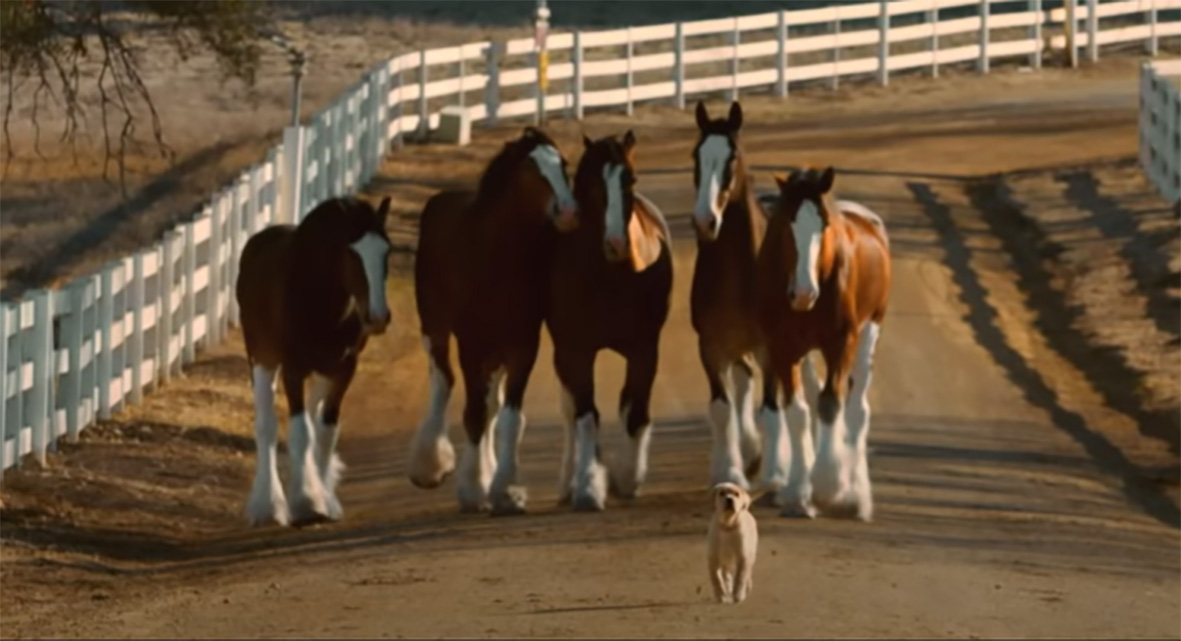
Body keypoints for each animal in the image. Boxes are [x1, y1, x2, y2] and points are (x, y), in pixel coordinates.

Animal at [237, 195, 394, 526]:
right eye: (352, 253)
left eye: (387, 250)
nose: (377, 316)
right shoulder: (293, 369)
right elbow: (300, 432)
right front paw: (306, 503)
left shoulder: (343, 370)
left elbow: (324, 432)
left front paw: (325, 501)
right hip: (261, 360)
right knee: (267, 426)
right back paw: (267, 505)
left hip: (321, 372)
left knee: (310, 415)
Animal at [408, 125, 578, 517]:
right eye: (532, 170)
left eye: (563, 164)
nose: (567, 211)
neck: (494, 257)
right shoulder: (472, 346)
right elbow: (473, 414)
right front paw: (472, 490)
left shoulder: (521, 347)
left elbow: (508, 419)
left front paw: (507, 491)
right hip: (435, 329)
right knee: (443, 382)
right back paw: (430, 465)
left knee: (490, 406)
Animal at [545, 130, 675, 512]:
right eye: (589, 185)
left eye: (630, 179)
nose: (616, 243)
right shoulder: (575, 351)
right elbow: (586, 415)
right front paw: (589, 486)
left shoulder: (645, 349)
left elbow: (635, 411)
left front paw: (627, 478)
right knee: (571, 410)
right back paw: (570, 481)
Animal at [684, 102, 821, 498]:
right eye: (696, 156)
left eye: (731, 158)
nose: (705, 221)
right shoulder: (711, 346)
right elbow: (722, 408)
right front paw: (730, 469)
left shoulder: (770, 347)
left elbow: (772, 408)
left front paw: (776, 473)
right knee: (744, 382)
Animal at [760, 166, 888, 521]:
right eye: (786, 222)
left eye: (824, 224)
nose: (804, 293)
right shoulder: (782, 348)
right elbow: (797, 412)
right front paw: (798, 493)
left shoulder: (840, 342)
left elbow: (831, 404)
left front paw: (830, 485)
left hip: (869, 332)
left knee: (858, 409)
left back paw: (857, 496)